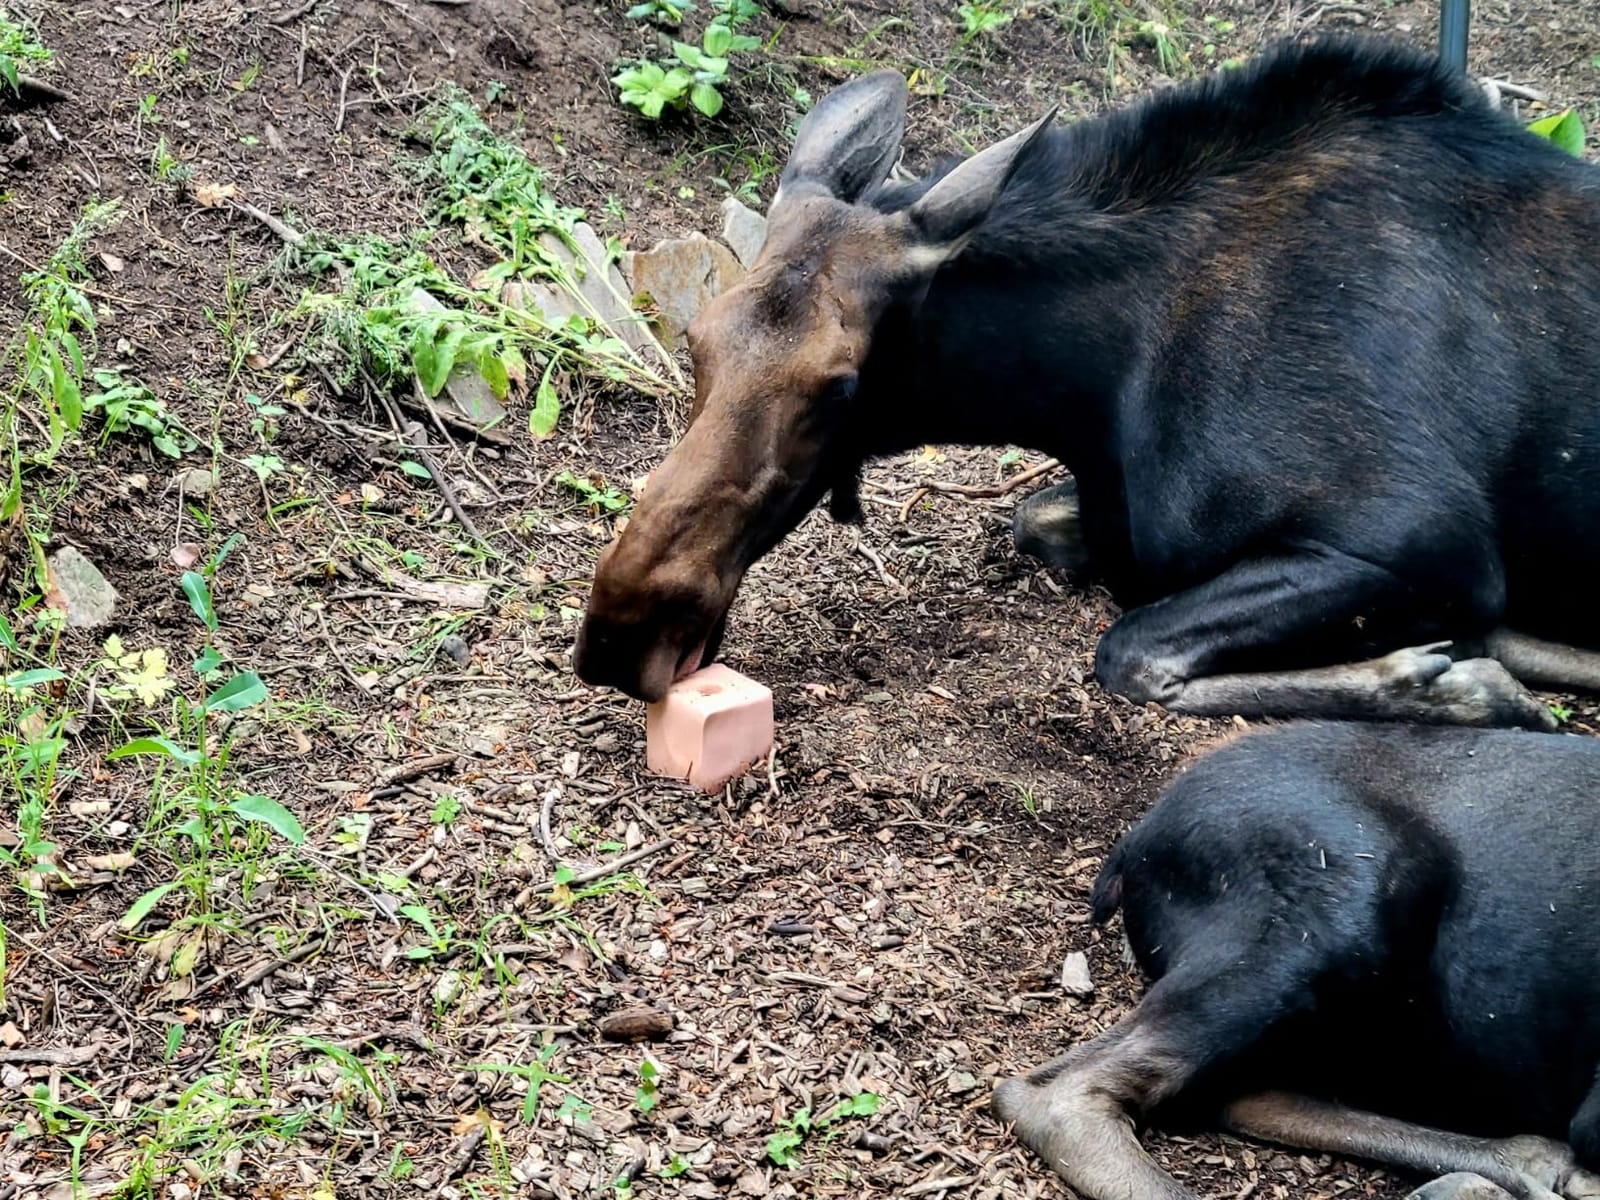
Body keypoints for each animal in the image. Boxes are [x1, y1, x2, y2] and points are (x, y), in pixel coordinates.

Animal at [572, 33, 1600, 728]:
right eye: (697, 341)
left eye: (841, 386)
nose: (620, 636)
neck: (1087, 392)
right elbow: (1041, 524)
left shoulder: (1420, 538)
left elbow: (1131, 650)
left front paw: (1461, 681)